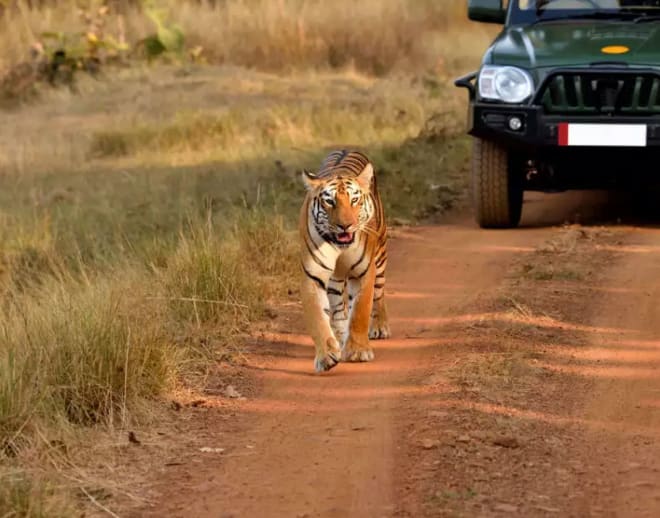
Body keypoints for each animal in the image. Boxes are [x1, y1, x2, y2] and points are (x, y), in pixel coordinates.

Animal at [298, 150, 390, 374]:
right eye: (330, 202)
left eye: (354, 200)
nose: (345, 225)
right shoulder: (312, 277)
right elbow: (318, 318)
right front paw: (326, 356)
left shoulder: (365, 272)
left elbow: (360, 311)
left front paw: (358, 351)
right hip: (335, 279)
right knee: (339, 308)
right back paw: (340, 338)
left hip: (380, 256)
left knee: (379, 295)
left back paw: (379, 327)